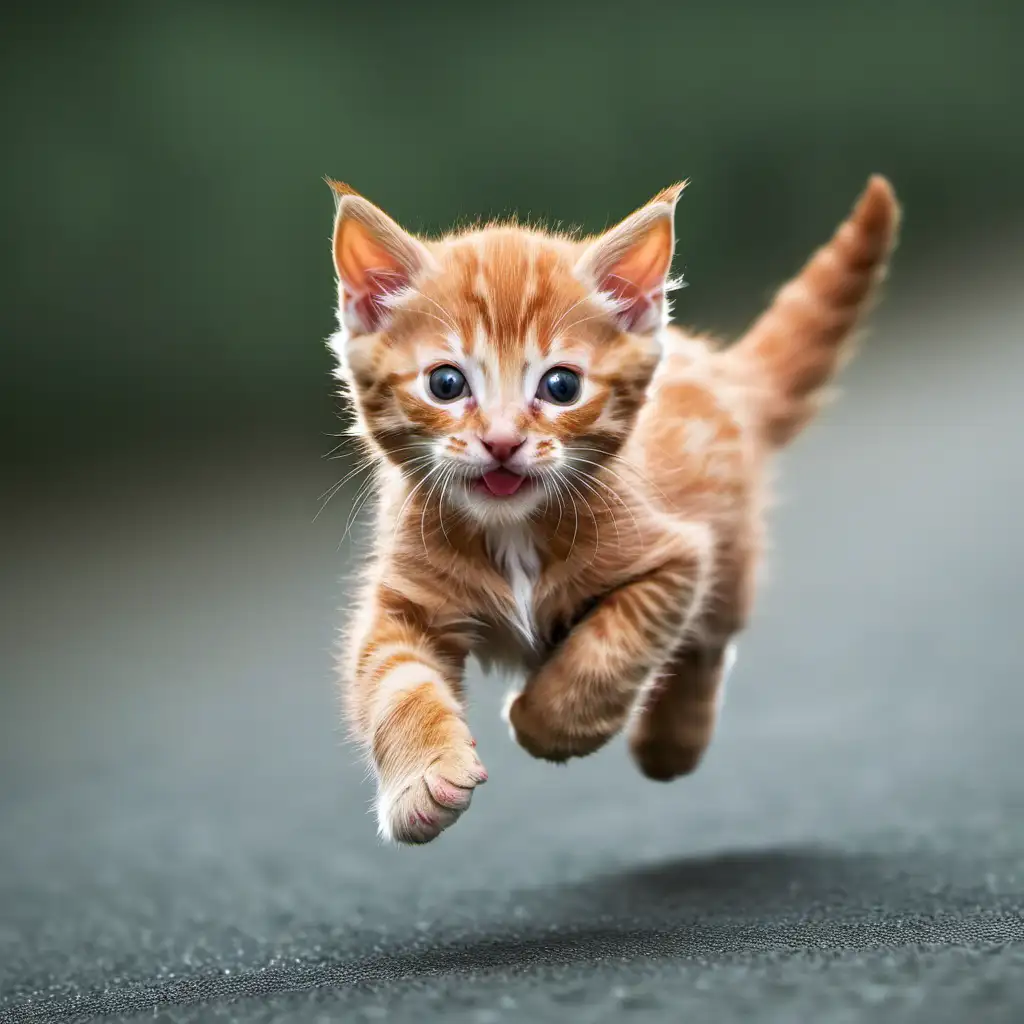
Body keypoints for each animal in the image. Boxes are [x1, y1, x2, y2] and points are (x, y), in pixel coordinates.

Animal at [325, 176, 897, 843]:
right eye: (446, 384)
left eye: (561, 387)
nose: (502, 442)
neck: (512, 530)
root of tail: (720, 370)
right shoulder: (402, 605)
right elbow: (395, 683)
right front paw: (421, 780)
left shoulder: (676, 558)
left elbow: (608, 652)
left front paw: (544, 722)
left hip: (727, 549)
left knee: (707, 643)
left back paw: (671, 743)